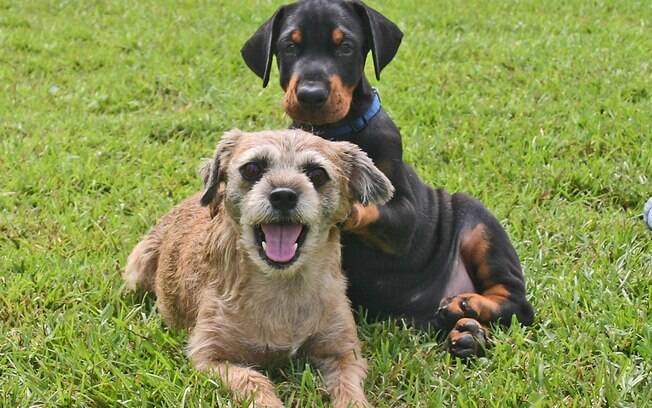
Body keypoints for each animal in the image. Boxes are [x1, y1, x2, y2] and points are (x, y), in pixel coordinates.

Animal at [125, 129, 394, 406]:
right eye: (252, 169)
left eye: (317, 174)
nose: (284, 195)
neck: (282, 285)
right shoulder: (211, 357)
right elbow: (254, 380)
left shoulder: (344, 352)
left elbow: (349, 388)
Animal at [242, 0, 532, 356]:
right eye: (289, 45)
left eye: (346, 46)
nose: (311, 95)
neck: (333, 130)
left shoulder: (405, 217)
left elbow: (376, 210)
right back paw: (469, 333)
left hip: (479, 222)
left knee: (518, 305)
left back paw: (467, 307)